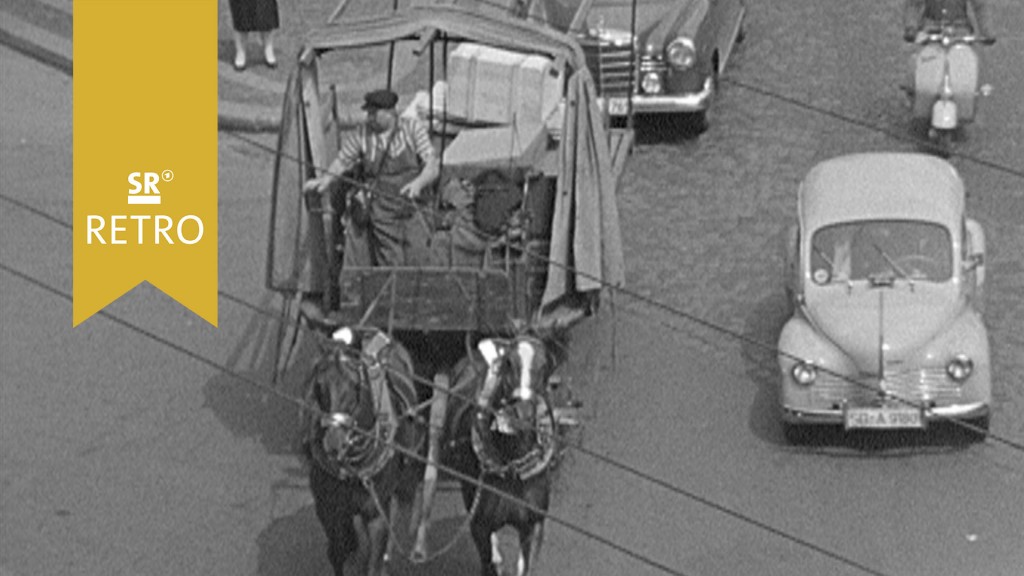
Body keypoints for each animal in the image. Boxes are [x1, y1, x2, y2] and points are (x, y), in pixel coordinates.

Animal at [305, 327, 425, 573]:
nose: (333, 442)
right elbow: (338, 551)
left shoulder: (377, 514)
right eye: (319, 386)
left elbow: (374, 562)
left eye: (355, 386)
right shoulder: (329, 511)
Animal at [438, 332, 552, 573]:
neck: (512, 468)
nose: (523, 413)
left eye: (545, 366)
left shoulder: (532, 525)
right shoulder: (479, 527)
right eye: (509, 363)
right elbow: (488, 562)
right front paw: (496, 560)